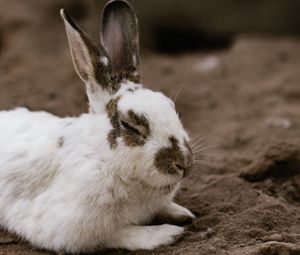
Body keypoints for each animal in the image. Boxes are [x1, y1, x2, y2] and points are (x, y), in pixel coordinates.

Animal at [0, 0, 195, 252]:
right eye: (130, 126)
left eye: (171, 106)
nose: (184, 164)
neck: (102, 157)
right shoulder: (69, 228)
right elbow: (116, 234)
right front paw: (165, 234)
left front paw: (183, 214)